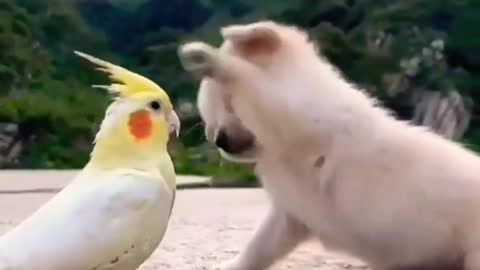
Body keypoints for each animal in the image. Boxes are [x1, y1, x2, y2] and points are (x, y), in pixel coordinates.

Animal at [178, 21, 478, 270]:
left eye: (228, 102)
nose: (219, 140)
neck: (277, 153)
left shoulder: (290, 116)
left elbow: (247, 80)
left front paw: (208, 58)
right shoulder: (290, 215)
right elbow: (257, 248)